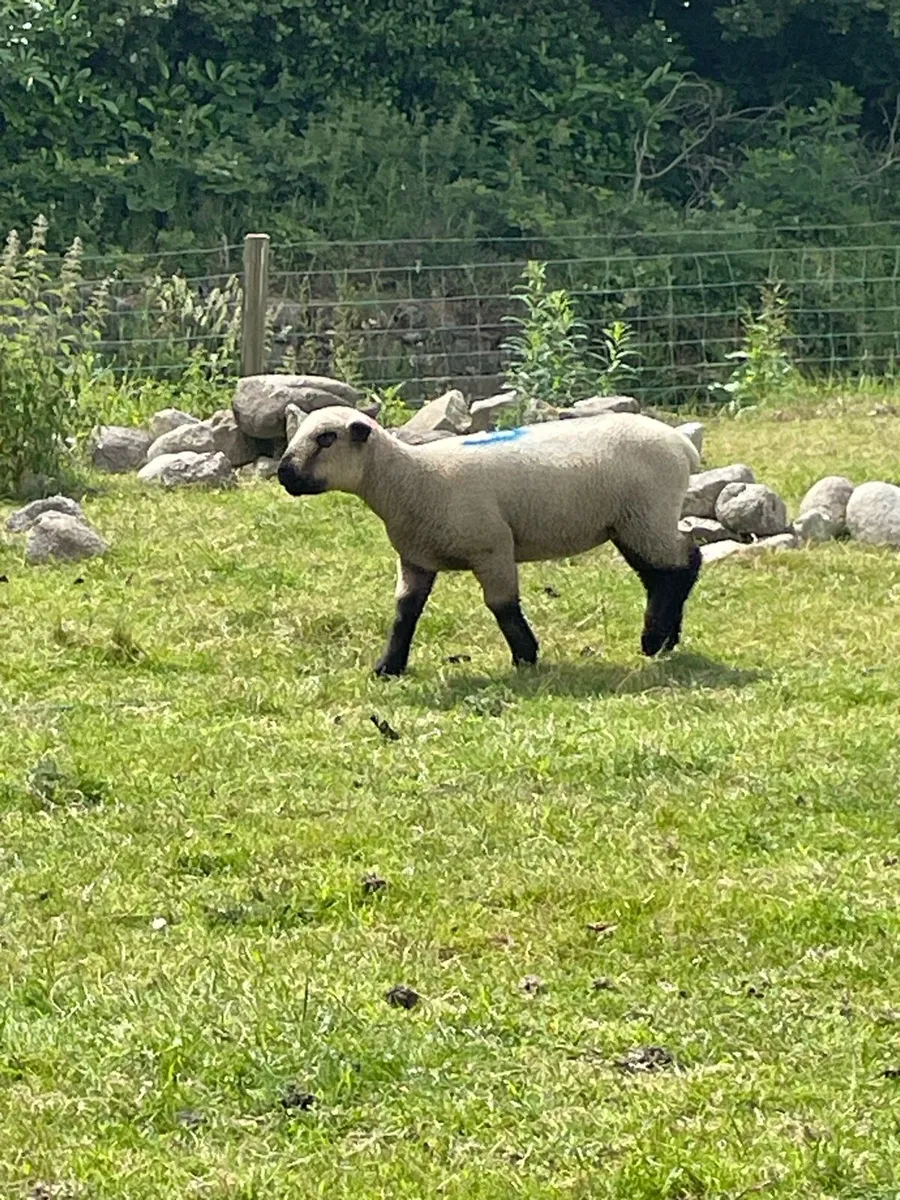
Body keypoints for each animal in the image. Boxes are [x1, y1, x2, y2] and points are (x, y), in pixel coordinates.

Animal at [277, 407, 702, 676]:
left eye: (327, 438)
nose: (284, 473)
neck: (412, 480)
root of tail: (681, 444)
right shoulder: (415, 559)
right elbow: (405, 612)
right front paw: (388, 667)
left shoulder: (492, 548)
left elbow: (502, 606)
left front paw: (526, 657)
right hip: (631, 523)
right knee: (662, 574)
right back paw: (665, 638)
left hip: (647, 515)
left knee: (684, 564)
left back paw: (654, 640)